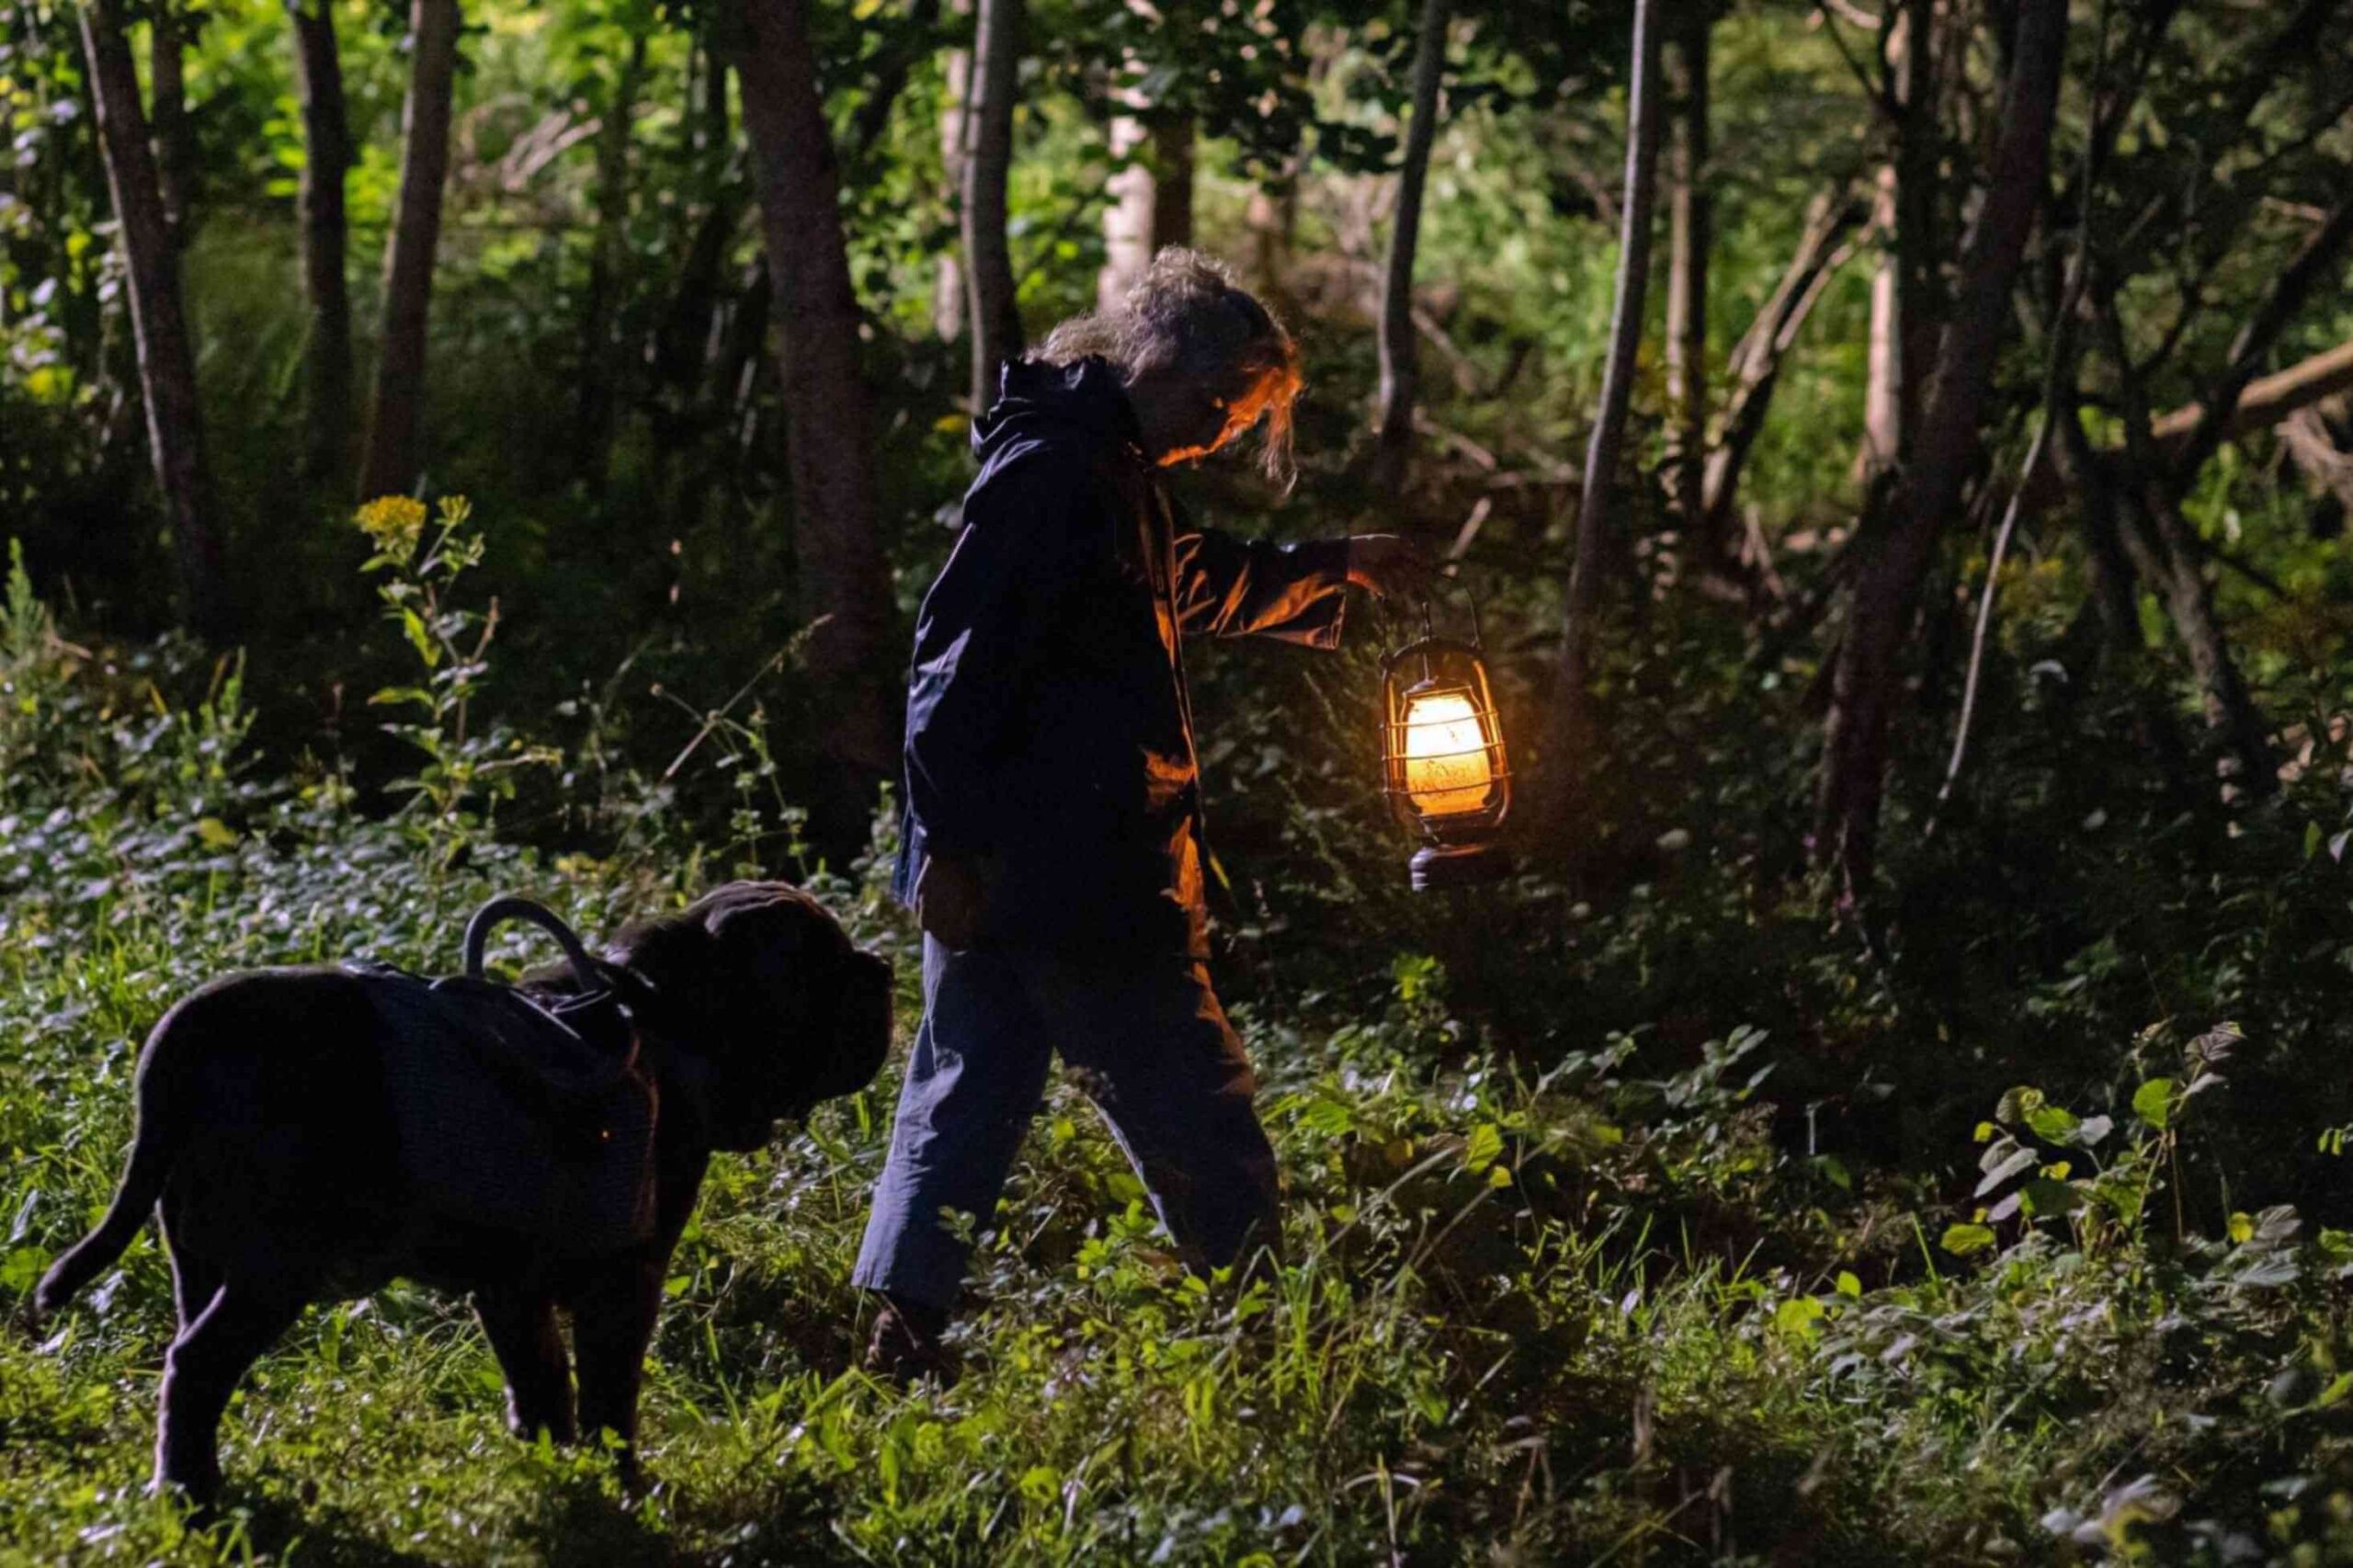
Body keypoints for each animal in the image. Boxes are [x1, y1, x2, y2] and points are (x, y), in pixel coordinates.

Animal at [28, 870, 889, 1497]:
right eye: (828, 964)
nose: (881, 966)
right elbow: (609, 1392)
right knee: (198, 1365)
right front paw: (623, 1481)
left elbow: (539, 1380)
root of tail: (199, 1026)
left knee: (190, 1365)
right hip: (273, 1271)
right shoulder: (625, 1280)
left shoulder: (512, 1288)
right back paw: (191, 1495)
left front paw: (549, 1462)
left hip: (199, 1256)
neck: (665, 1016)